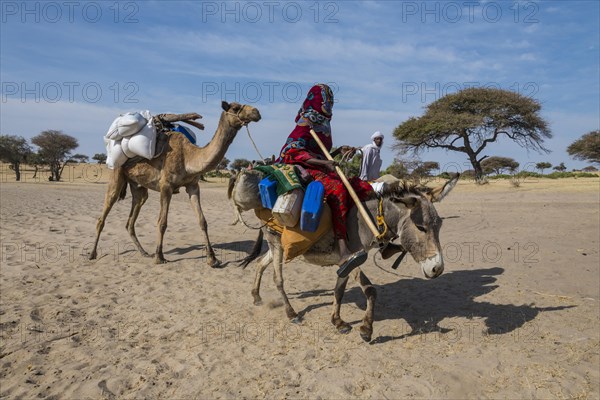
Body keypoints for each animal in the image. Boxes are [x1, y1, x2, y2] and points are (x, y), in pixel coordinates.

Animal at [88, 101, 260, 268]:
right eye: (236, 107)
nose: (256, 112)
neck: (188, 157)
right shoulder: (166, 186)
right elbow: (162, 222)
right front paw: (159, 257)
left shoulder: (193, 186)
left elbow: (202, 221)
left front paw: (212, 259)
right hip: (117, 174)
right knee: (104, 213)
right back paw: (92, 254)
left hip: (138, 186)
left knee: (131, 218)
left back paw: (144, 252)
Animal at [227, 172, 458, 340]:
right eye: (421, 227)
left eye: (439, 226)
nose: (438, 269)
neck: (369, 220)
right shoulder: (352, 258)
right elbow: (371, 290)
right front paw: (366, 329)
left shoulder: (345, 263)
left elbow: (339, 291)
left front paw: (338, 322)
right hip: (276, 242)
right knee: (278, 278)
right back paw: (291, 313)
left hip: (277, 246)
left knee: (260, 263)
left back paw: (256, 296)